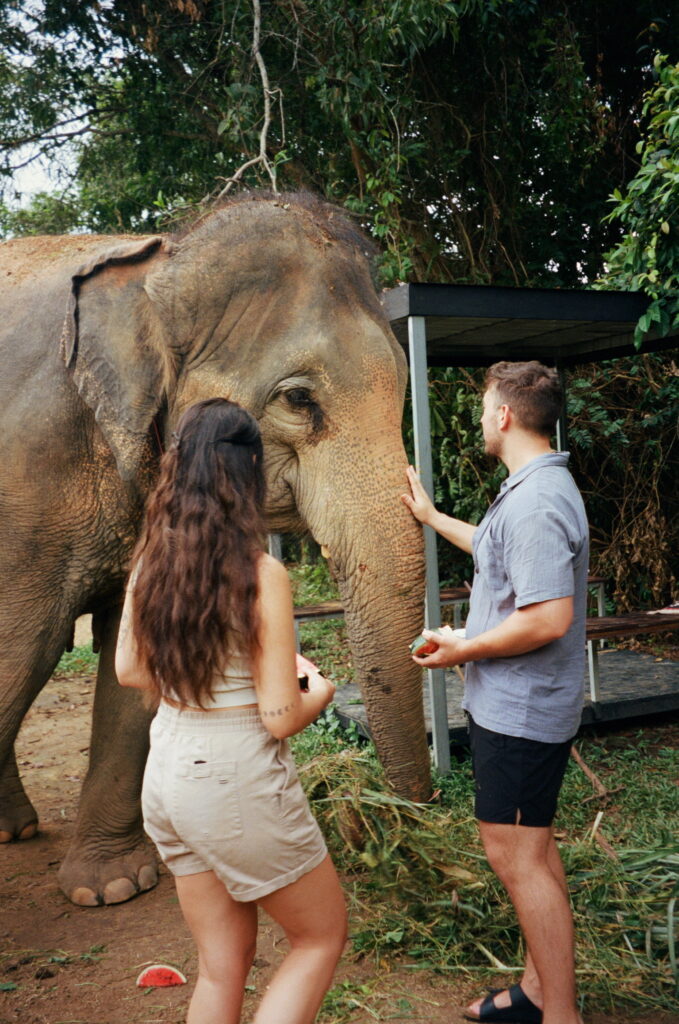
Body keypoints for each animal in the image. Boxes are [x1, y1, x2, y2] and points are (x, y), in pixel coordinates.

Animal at [0, 192, 428, 905]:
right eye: (299, 399)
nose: (412, 824)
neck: (159, 261)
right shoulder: (28, 468)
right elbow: (19, 645)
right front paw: (111, 889)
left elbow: (132, 656)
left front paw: (112, 887)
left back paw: (16, 830)